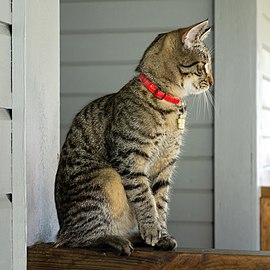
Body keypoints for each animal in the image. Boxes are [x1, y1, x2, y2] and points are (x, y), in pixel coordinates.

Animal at [54, 19, 214, 255]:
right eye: (202, 65)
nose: (212, 82)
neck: (168, 102)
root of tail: (61, 228)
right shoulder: (130, 158)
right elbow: (144, 196)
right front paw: (151, 229)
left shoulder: (165, 165)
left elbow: (160, 202)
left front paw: (161, 235)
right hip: (106, 177)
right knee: (77, 238)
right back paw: (114, 240)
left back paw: (134, 237)